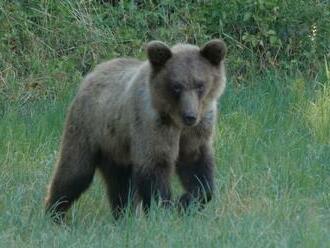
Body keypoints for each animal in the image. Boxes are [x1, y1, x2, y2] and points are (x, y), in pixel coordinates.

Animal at [45, 38, 227, 221]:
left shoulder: (197, 131)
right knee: (74, 172)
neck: (175, 120)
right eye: (176, 86)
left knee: (120, 184)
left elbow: (197, 167)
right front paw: (162, 210)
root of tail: (92, 73)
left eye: (200, 85)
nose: (190, 116)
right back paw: (54, 212)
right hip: (88, 128)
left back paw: (123, 216)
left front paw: (186, 202)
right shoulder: (151, 126)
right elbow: (154, 166)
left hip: (115, 147)